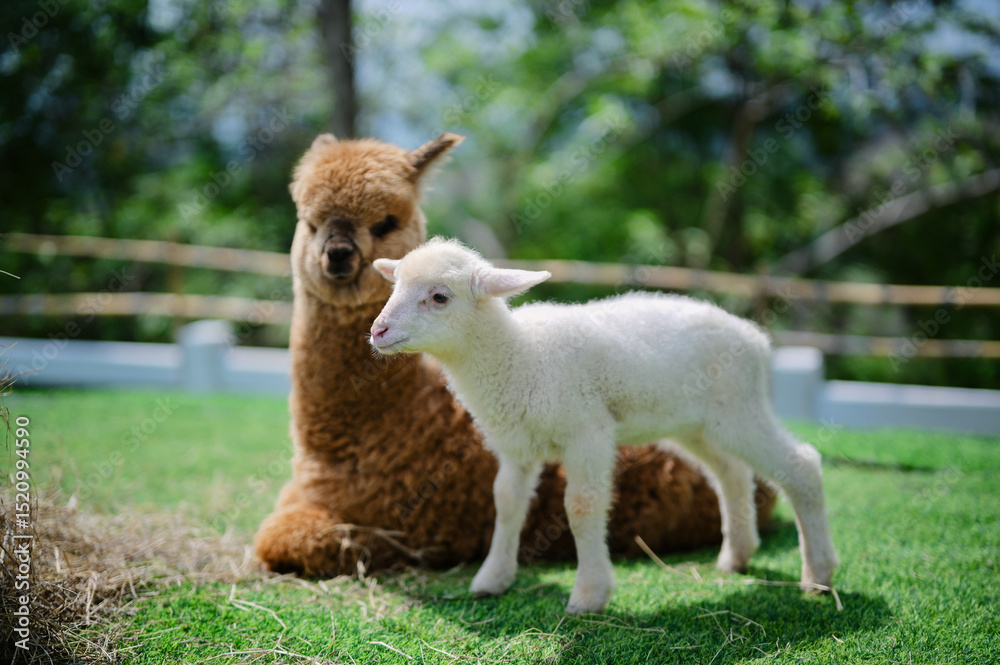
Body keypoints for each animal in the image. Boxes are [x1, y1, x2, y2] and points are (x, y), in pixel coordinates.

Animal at [370, 237, 839, 614]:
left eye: (440, 297)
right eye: (395, 286)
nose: (378, 331)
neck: (521, 356)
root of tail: (755, 336)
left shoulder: (587, 432)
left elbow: (581, 506)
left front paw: (589, 595)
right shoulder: (517, 446)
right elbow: (505, 502)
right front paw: (492, 579)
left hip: (740, 408)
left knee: (801, 465)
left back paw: (818, 575)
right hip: (696, 425)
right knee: (732, 473)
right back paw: (736, 557)